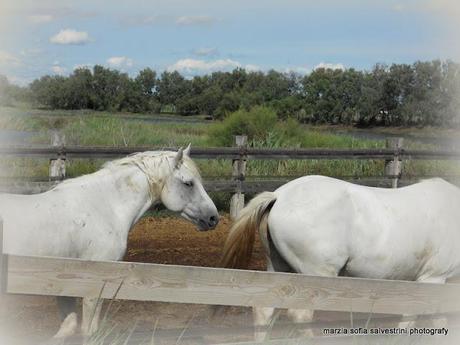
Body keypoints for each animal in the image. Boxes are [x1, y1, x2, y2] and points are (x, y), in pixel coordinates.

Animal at [0, 144, 219, 336]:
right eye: (188, 183)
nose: (213, 218)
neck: (103, 207)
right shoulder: (94, 285)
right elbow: (88, 330)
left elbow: (68, 327)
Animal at [221, 175, 460, 338]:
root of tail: (279, 196)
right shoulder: (433, 279)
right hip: (315, 276)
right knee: (300, 315)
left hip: (279, 269)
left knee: (264, 310)